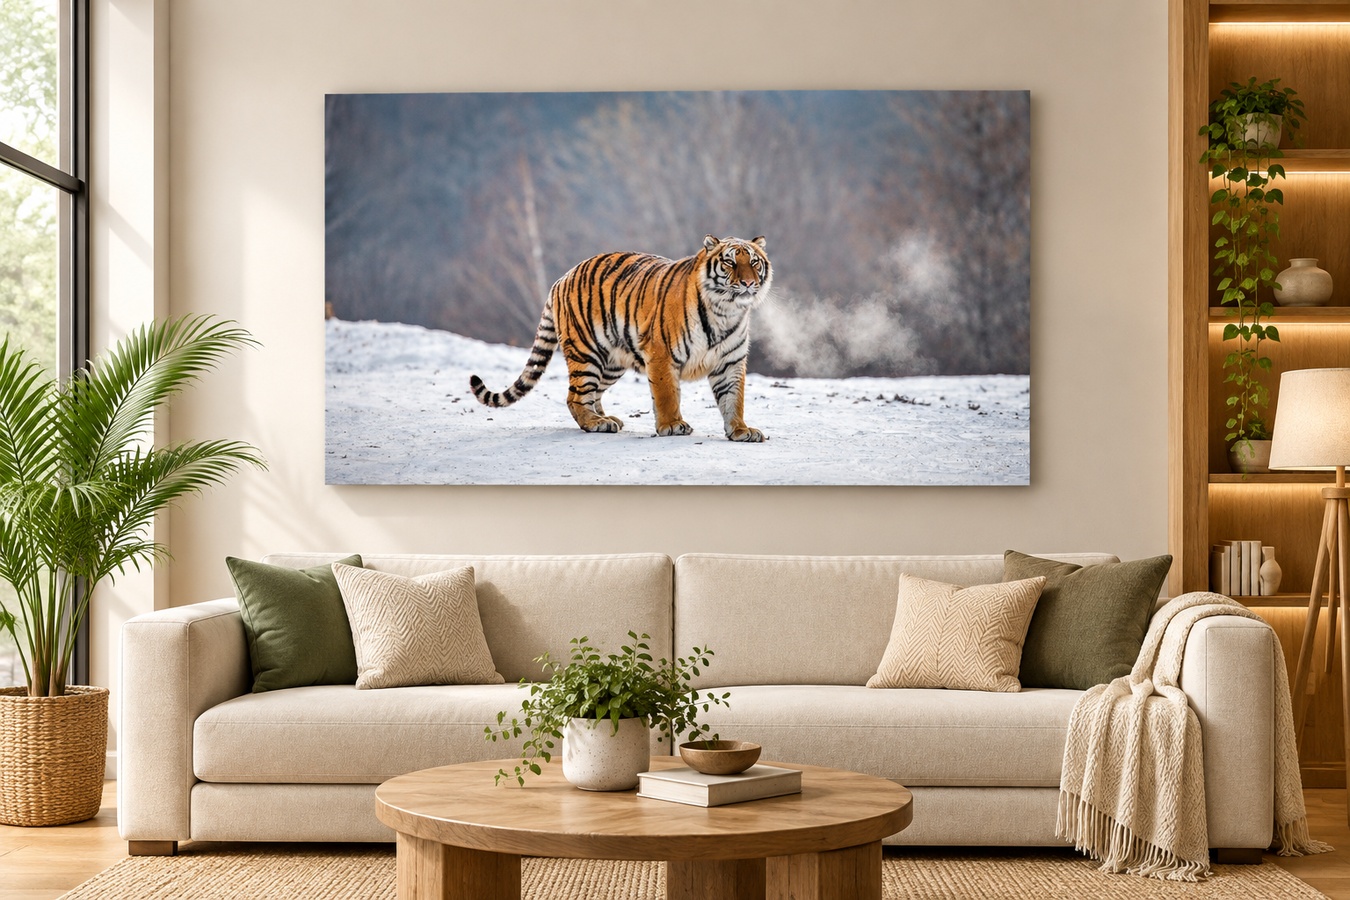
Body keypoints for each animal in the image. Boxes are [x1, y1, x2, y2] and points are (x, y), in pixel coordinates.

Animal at [469, 234, 772, 442]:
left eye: (753, 262)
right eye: (730, 262)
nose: (747, 283)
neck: (726, 311)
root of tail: (561, 278)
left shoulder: (730, 362)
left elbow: (733, 399)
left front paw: (741, 430)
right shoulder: (662, 354)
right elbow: (667, 395)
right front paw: (672, 425)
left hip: (611, 362)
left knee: (591, 394)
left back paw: (604, 418)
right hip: (586, 353)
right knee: (574, 396)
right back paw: (595, 424)